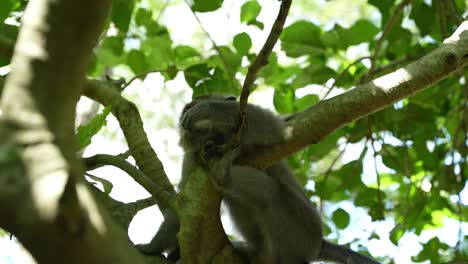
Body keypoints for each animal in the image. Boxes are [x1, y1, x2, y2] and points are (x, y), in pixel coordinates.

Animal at [136, 95, 380, 264]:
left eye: (212, 132)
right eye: (202, 138)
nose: (210, 147)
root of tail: (319, 244)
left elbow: (276, 129)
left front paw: (210, 109)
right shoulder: (192, 161)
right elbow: (183, 208)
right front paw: (152, 247)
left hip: (299, 230)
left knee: (270, 192)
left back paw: (223, 173)